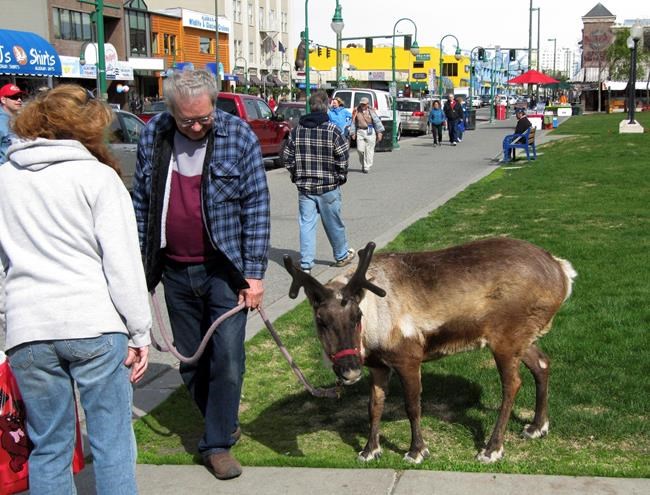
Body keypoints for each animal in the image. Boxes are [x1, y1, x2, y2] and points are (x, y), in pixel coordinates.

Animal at [283, 236, 577, 463]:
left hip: (506, 339)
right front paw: (369, 450)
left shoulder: (408, 359)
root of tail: (562, 272)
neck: (372, 322)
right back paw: (537, 427)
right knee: (542, 364)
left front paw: (416, 451)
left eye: (356, 316)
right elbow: (373, 406)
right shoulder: (379, 366)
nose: (350, 370)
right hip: (520, 339)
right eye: (320, 320)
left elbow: (412, 406)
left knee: (512, 384)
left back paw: (491, 449)